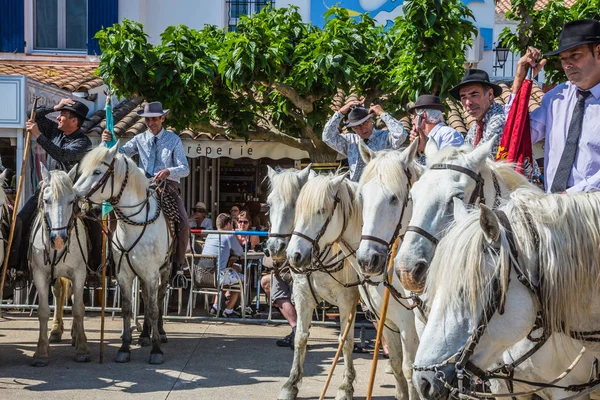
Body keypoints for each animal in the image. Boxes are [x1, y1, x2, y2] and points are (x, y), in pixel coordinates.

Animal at [28, 165, 89, 366]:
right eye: (46, 200)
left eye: (71, 201)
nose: (59, 240)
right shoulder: (39, 275)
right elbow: (43, 311)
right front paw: (41, 351)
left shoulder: (79, 273)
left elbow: (78, 308)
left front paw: (82, 349)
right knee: (59, 293)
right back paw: (56, 330)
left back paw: (75, 335)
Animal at [73, 145, 171, 364]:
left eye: (97, 172)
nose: (74, 200)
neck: (136, 225)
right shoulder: (124, 274)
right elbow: (127, 309)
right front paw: (125, 347)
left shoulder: (152, 273)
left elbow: (153, 309)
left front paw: (157, 350)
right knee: (146, 298)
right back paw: (144, 336)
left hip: (165, 270)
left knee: (159, 299)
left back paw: (160, 333)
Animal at [268, 164, 360, 398]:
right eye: (269, 204)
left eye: (295, 204)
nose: (274, 248)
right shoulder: (302, 295)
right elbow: (301, 336)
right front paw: (291, 384)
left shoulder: (347, 299)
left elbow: (346, 341)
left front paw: (346, 386)